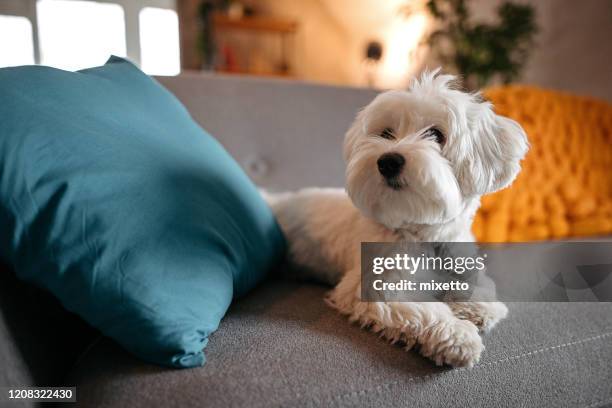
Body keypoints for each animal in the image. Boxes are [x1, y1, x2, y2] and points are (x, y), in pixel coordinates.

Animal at [266, 70, 528, 366]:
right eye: (386, 133)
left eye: (436, 134)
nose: (388, 161)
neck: (423, 234)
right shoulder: (378, 287)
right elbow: (427, 311)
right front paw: (458, 336)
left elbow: (478, 284)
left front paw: (479, 306)